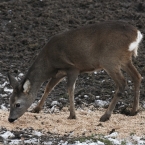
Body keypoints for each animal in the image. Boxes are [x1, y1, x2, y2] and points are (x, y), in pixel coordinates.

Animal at [7, 20, 143, 122]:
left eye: (17, 104)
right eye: (9, 100)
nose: (10, 119)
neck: (49, 63)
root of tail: (137, 34)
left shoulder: (72, 68)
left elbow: (70, 89)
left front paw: (72, 115)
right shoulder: (59, 73)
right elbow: (48, 88)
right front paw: (36, 109)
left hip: (110, 59)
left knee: (122, 83)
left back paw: (105, 116)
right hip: (124, 59)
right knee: (137, 76)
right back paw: (133, 110)